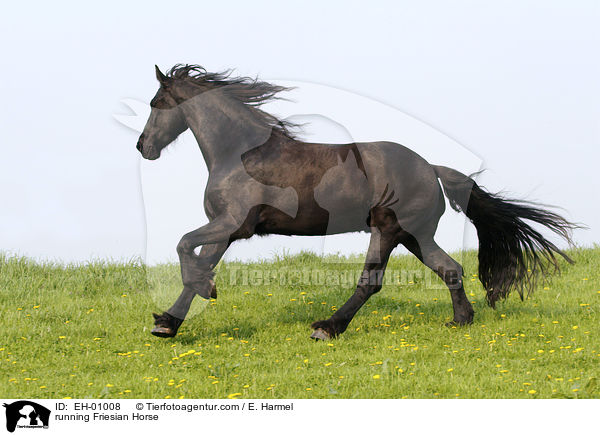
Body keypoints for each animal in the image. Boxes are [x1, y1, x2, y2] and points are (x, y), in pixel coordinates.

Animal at [136, 64, 576, 342]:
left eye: (156, 104)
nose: (143, 147)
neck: (242, 154)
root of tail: (430, 168)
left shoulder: (232, 224)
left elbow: (183, 246)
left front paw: (202, 293)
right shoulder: (224, 230)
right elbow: (197, 263)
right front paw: (168, 323)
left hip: (387, 229)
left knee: (371, 282)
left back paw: (327, 327)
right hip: (414, 235)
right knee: (450, 268)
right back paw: (460, 321)